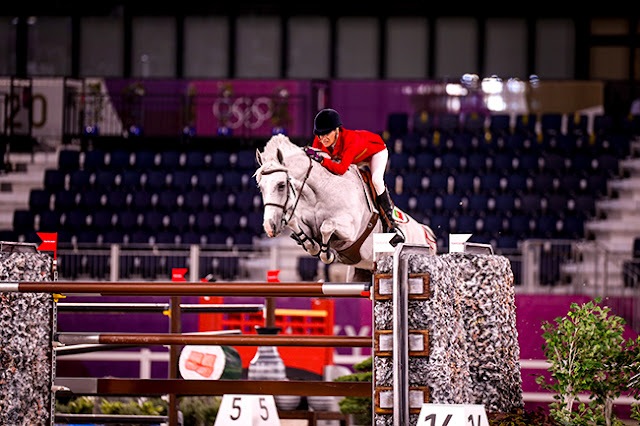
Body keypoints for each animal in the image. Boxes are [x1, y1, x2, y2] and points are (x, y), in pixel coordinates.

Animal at [254, 133, 436, 280]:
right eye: (260, 187)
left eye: (281, 185)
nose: (269, 227)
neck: (319, 193)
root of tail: (426, 234)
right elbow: (299, 228)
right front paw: (314, 246)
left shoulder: (351, 230)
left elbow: (327, 226)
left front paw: (327, 254)